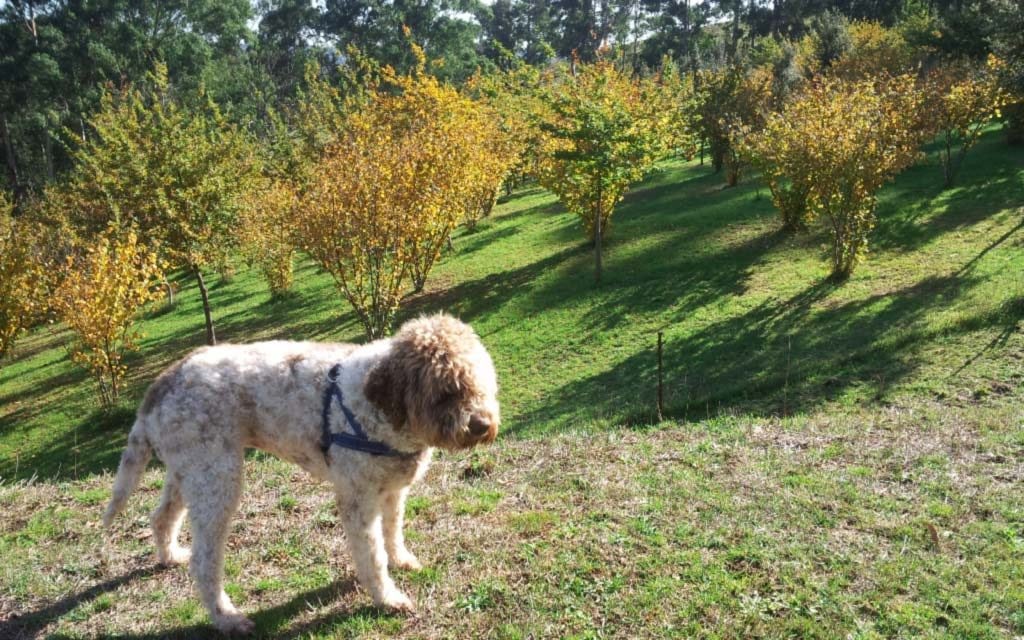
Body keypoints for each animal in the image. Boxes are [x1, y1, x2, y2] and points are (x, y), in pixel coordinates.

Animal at [102, 311, 499, 630]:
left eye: (481, 380)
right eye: (446, 390)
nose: (482, 424)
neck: (380, 409)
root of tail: (161, 384)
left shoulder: (391, 490)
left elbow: (392, 534)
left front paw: (400, 561)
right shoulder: (358, 500)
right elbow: (372, 555)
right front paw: (387, 598)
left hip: (190, 471)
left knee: (161, 517)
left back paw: (170, 556)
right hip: (217, 478)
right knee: (204, 561)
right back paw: (227, 618)